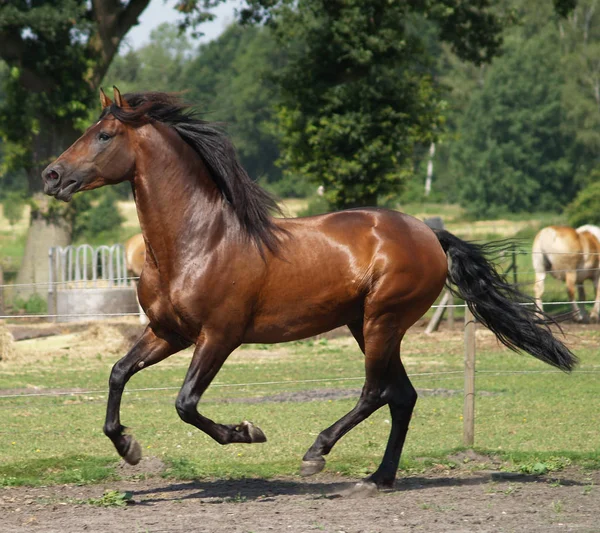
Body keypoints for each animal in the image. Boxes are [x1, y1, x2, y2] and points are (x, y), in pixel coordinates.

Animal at [39, 88, 576, 490]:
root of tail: (428, 234)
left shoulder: (219, 337)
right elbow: (117, 373)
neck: (198, 240)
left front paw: (247, 433)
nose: (51, 175)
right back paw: (377, 479)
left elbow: (185, 403)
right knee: (401, 396)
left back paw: (316, 453)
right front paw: (128, 448)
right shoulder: (168, 332)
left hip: (382, 321)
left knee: (376, 391)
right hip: (365, 324)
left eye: (104, 134)